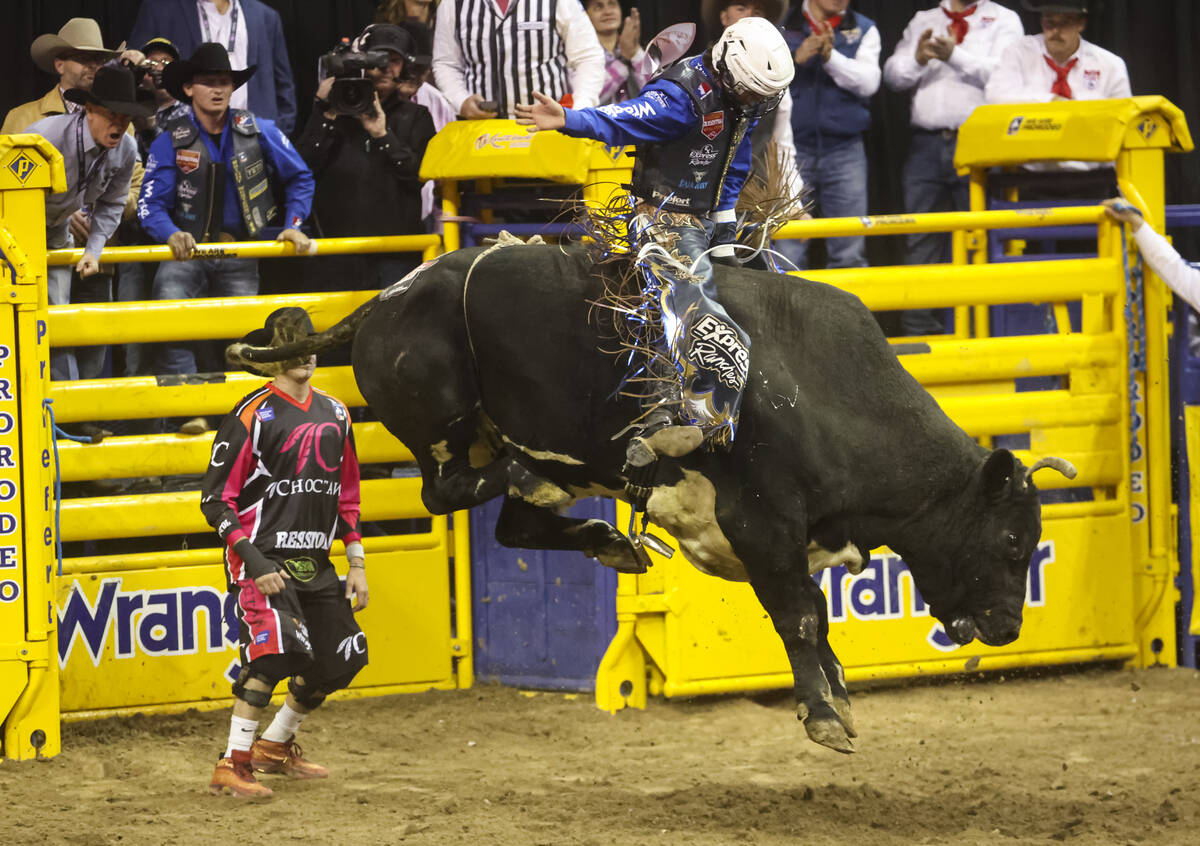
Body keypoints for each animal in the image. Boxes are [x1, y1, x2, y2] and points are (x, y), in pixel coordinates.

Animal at [243, 246, 1080, 753]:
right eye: (1010, 542)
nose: (1009, 627)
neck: (820, 390)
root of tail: (386, 298)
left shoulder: (794, 538)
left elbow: (815, 612)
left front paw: (838, 693)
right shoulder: (764, 523)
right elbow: (801, 616)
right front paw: (822, 715)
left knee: (517, 523)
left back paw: (610, 538)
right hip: (442, 417)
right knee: (451, 486)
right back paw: (535, 466)